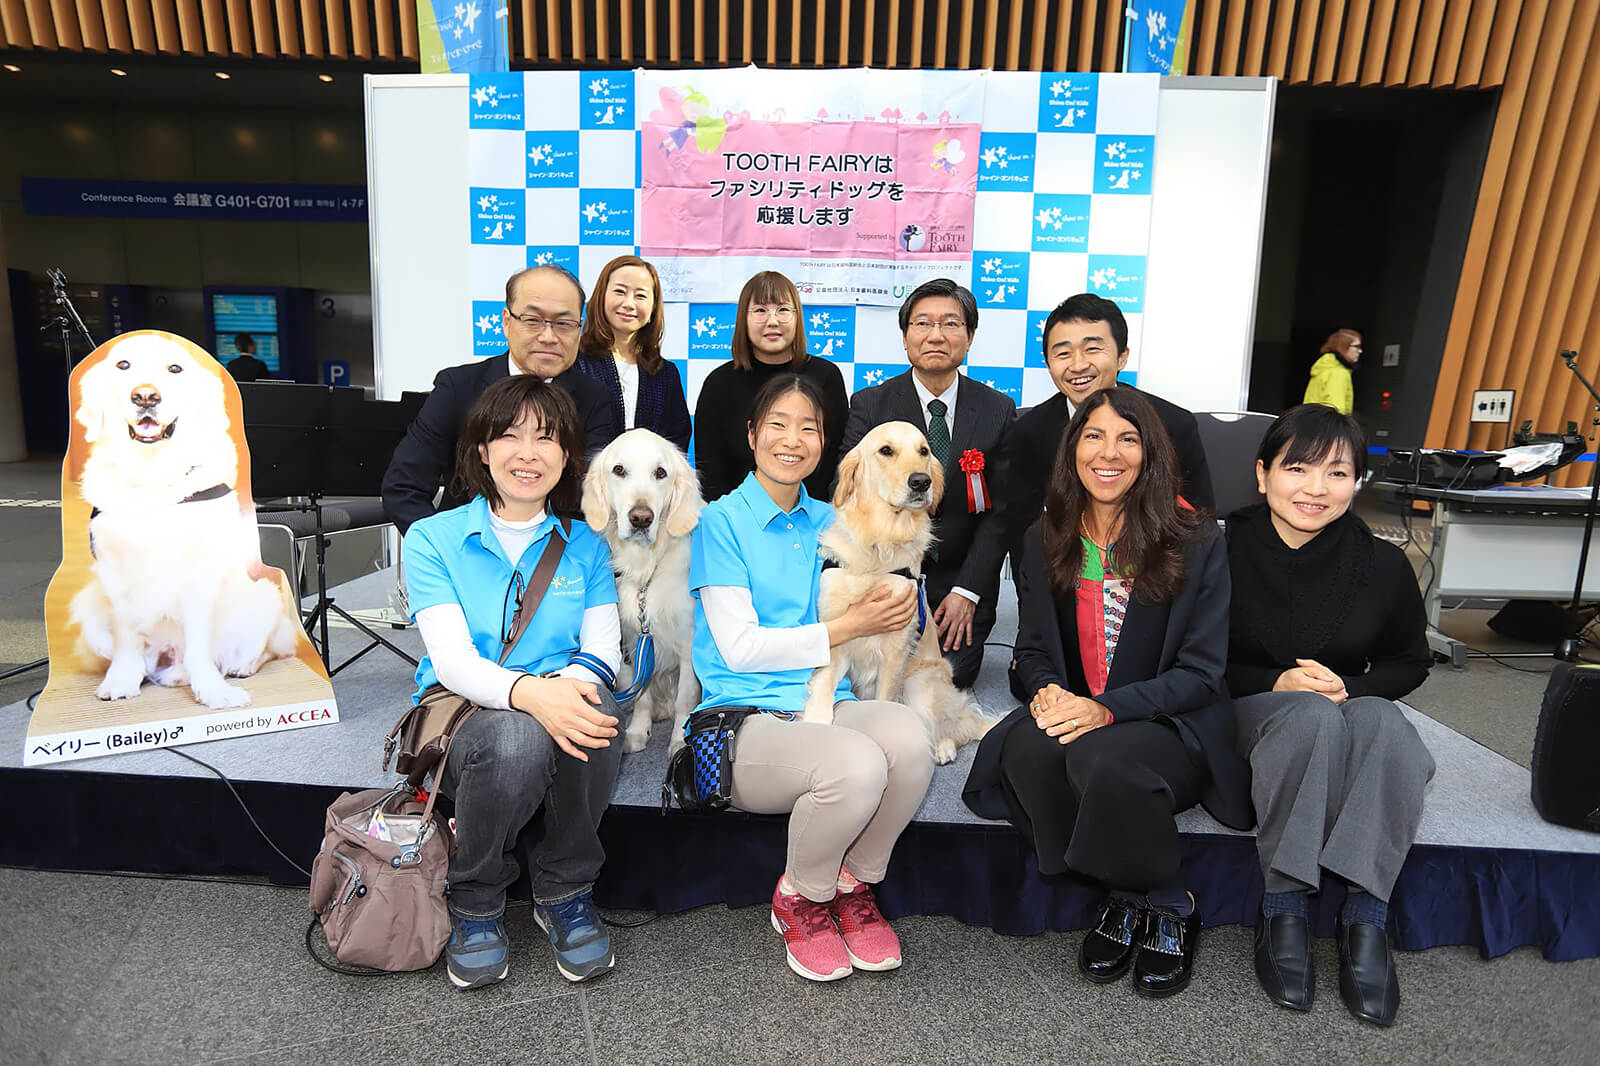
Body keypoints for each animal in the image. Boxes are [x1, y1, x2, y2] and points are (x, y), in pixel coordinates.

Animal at [67, 334, 299, 704]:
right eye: (123, 365)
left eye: (175, 368)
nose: (145, 396)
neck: (152, 480)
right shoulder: (115, 573)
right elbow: (127, 636)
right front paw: (120, 681)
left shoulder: (200, 571)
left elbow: (199, 641)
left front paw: (215, 693)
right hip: (89, 608)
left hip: (263, 597)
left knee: (262, 649)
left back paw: (237, 667)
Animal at [579, 428, 697, 752]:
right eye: (619, 470)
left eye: (661, 473)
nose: (641, 518)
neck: (648, 568)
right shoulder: (634, 641)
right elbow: (642, 696)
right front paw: (636, 731)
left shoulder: (689, 645)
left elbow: (685, 700)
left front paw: (680, 741)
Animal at [806, 419, 992, 758]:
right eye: (886, 450)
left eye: (924, 451)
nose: (921, 481)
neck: (880, 547)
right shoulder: (835, 634)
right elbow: (824, 683)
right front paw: (815, 721)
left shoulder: (895, 653)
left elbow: (885, 700)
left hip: (922, 682)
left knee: (950, 727)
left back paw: (944, 747)